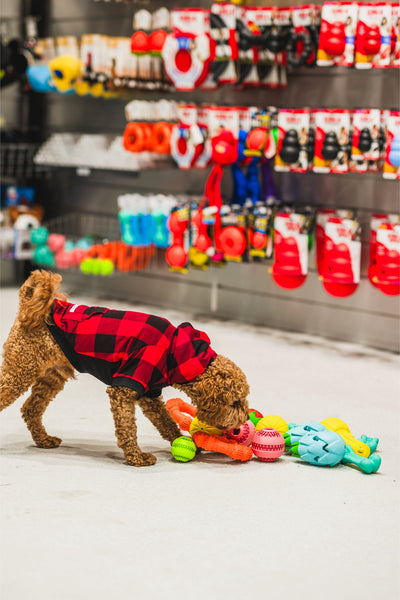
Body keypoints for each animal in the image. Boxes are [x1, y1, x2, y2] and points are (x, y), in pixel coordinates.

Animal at [0, 270, 250, 466]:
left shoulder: (149, 392)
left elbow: (165, 421)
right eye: (235, 402)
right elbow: (127, 427)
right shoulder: (125, 387)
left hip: (51, 376)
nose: (244, 420)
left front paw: (187, 444)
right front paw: (136, 457)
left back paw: (43, 440)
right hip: (18, 372)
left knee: (30, 409)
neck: (177, 353)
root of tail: (29, 310)